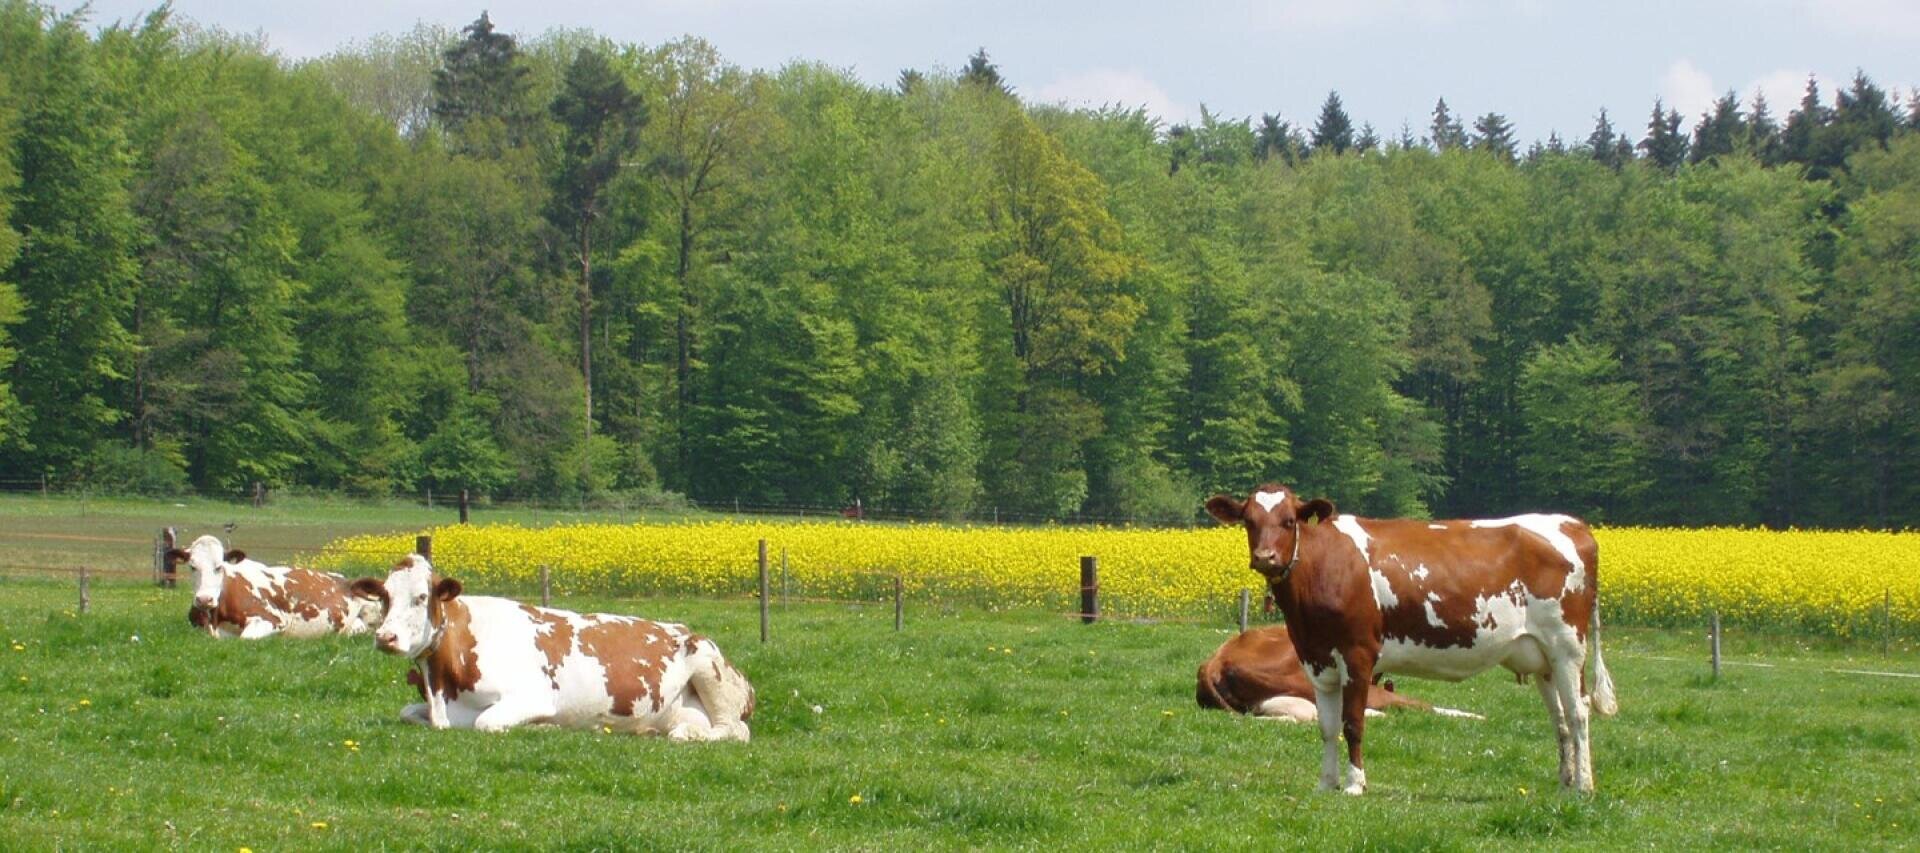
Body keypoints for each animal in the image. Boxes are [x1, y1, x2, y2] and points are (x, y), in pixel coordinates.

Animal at [169, 535, 382, 639]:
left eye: (219, 566)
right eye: (192, 566)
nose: (205, 599)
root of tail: (346, 581)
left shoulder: (272, 619)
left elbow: (246, 638)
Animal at [349, 555, 755, 741]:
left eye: (421, 597)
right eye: (384, 597)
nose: (385, 637)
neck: (443, 688)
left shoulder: (532, 696)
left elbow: (486, 722)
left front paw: (543, 727)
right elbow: (406, 711)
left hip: (708, 667)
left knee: (733, 730)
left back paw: (686, 735)